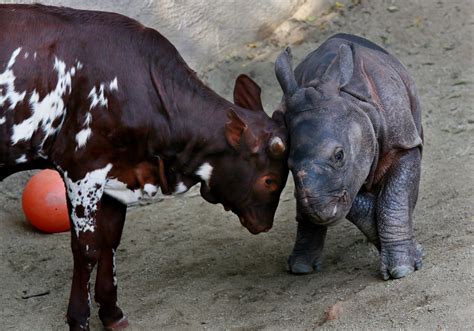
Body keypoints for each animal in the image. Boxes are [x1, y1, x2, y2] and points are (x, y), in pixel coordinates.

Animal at [0, 3, 288, 330]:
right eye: (269, 180)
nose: (264, 224)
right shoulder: (83, 170)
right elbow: (87, 248)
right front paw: (79, 319)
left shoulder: (117, 173)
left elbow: (110, 240)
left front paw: (112, 312)